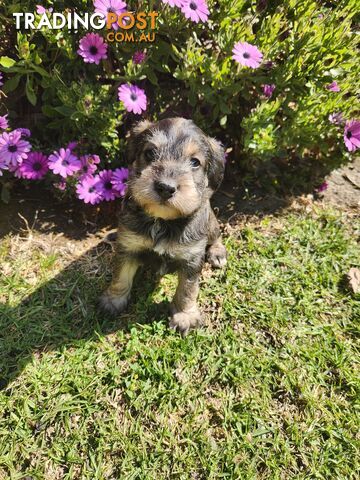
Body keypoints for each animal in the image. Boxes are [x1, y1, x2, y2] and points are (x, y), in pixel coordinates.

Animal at [100, 117, 226, 334]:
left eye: (195, 162)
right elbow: (120, 276)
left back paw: (217, 253)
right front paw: (113, 301)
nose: (166, 188)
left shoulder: (192, 258)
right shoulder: (128, 246)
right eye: (150, 153)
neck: (162, 221)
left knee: (216, 235)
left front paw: (185, 316)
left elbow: (187, 289)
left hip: (210, 223)